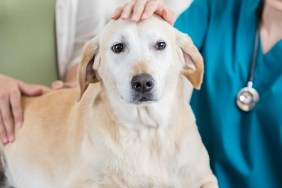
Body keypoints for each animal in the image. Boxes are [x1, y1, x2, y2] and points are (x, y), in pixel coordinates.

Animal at [0, 16, 218, 188]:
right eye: (118, 47)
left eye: (161, 45)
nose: (142, 83)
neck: (147, 131)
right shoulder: (83, 183)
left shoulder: (206, 179)